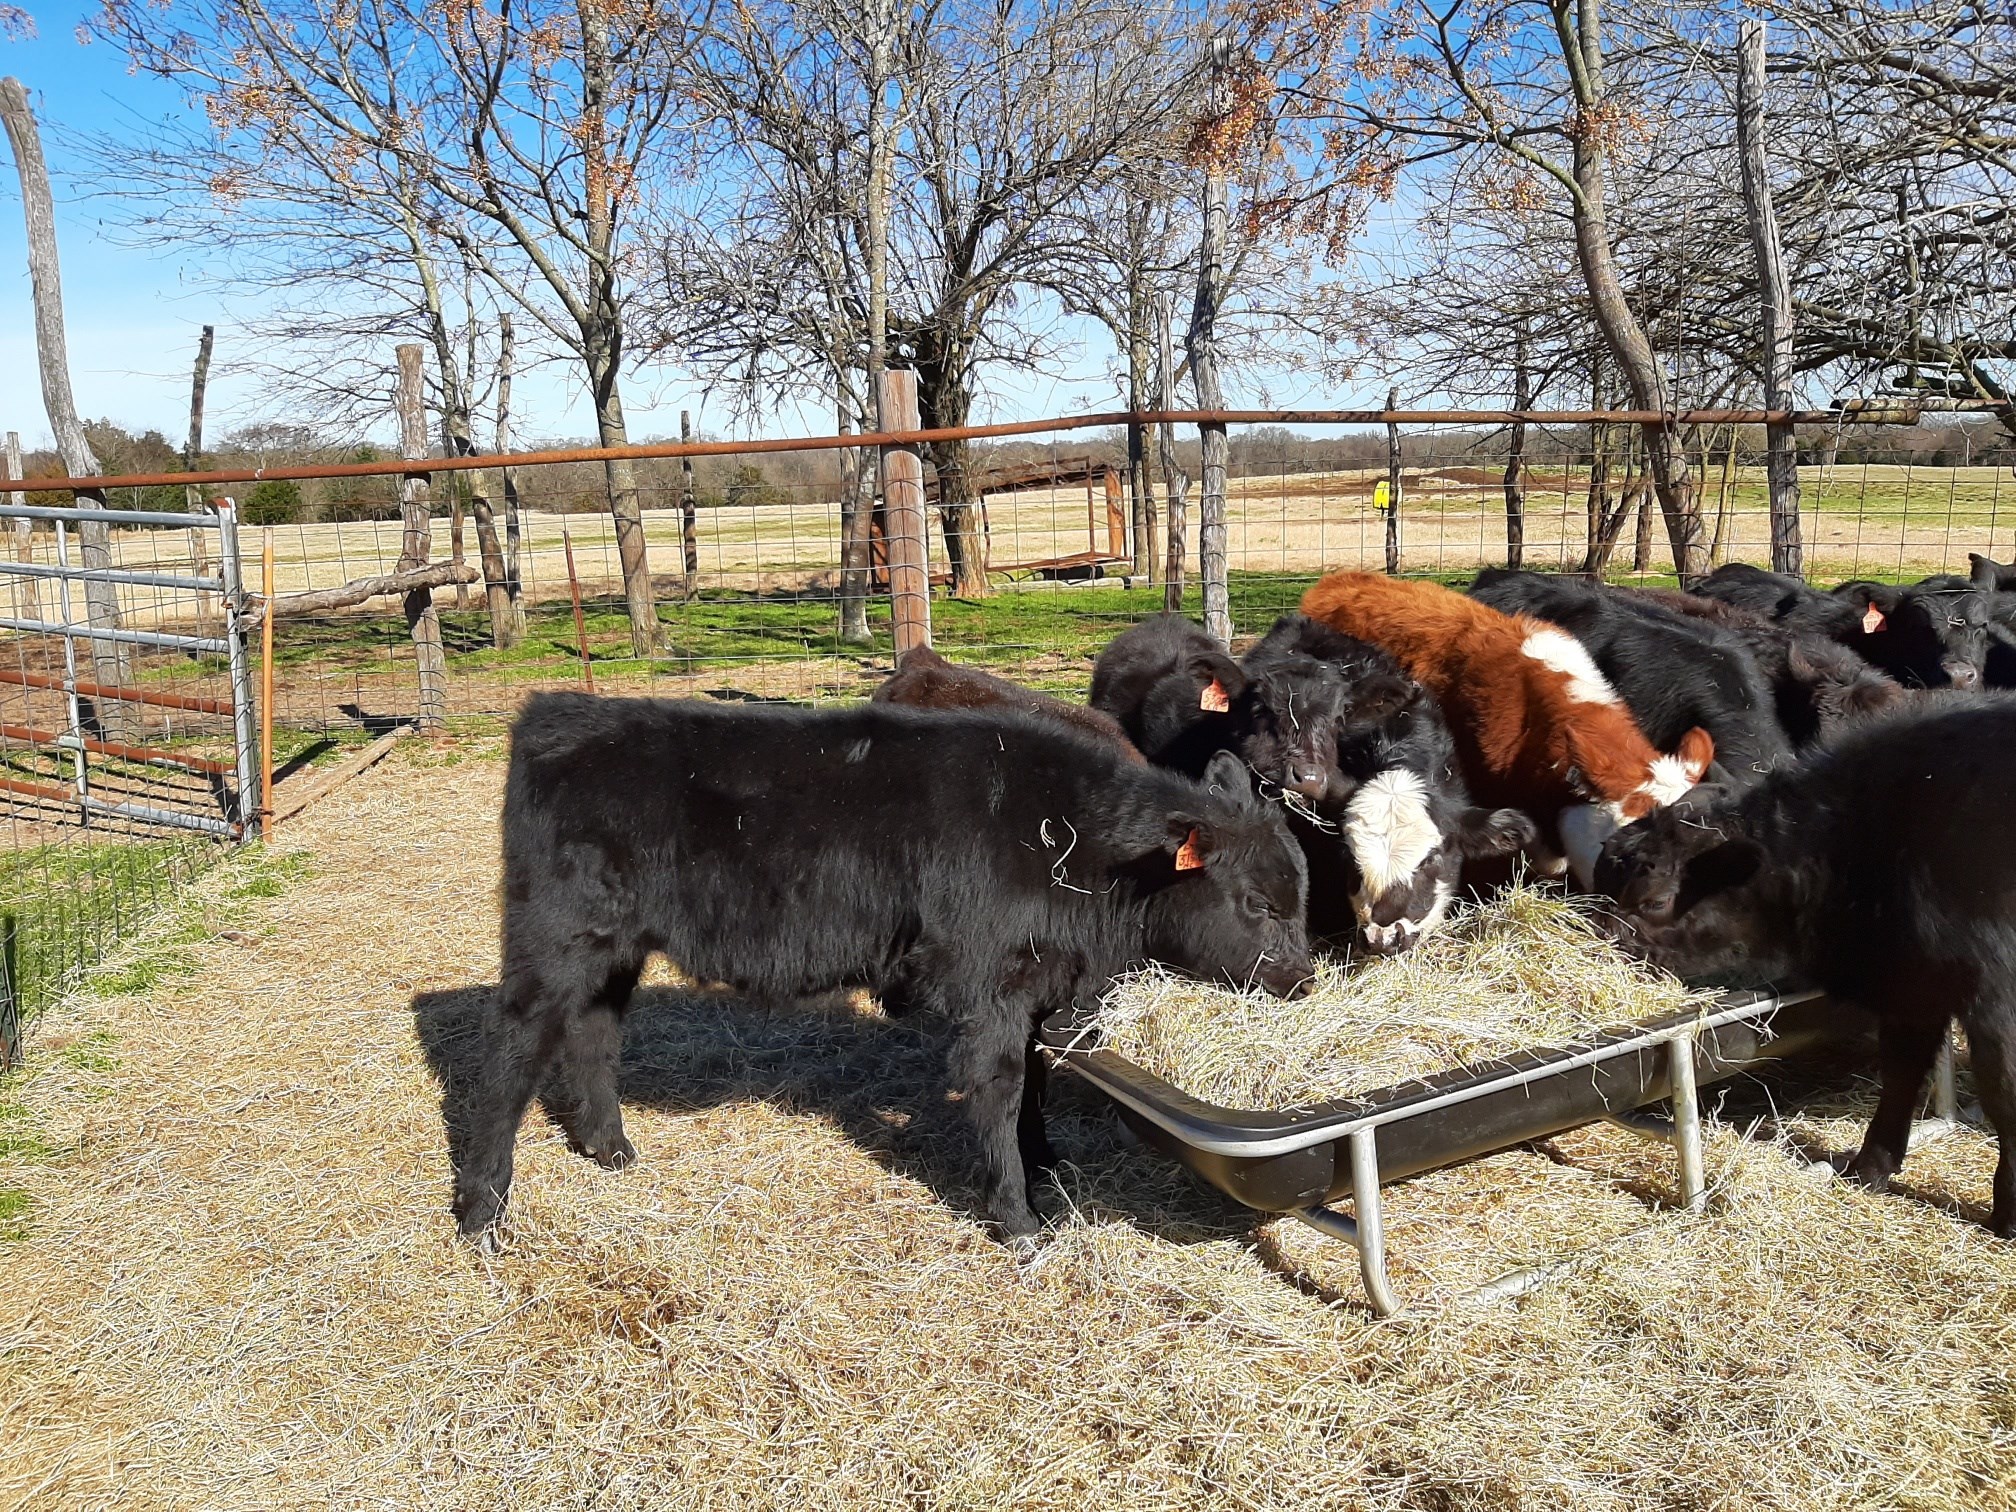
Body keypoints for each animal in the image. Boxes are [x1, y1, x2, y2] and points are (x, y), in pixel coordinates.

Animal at [456, 694, 1313, 1245]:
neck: (1071, 843)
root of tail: (557, 711)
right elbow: (1001, 1089)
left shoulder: (1031, 991)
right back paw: (480, 1212)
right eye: (1255, 904)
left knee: (593, 1038)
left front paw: (1043, 1161)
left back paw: (609, 1147)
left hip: (612, 951)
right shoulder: (991, 991)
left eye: (1298, 893)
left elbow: (1036, 1081)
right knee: (507, 1054)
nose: (1305, 980)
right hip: (551, 940)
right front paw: (1018, 1216)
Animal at [1592, 698, 2016, 1240]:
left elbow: (2003, 1092)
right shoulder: (1913, 989)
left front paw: (2007, 1214)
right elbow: (1901, 1075)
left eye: (1655, 900)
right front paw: (1869, 1169)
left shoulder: (1993, 1000)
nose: (1600, 929)